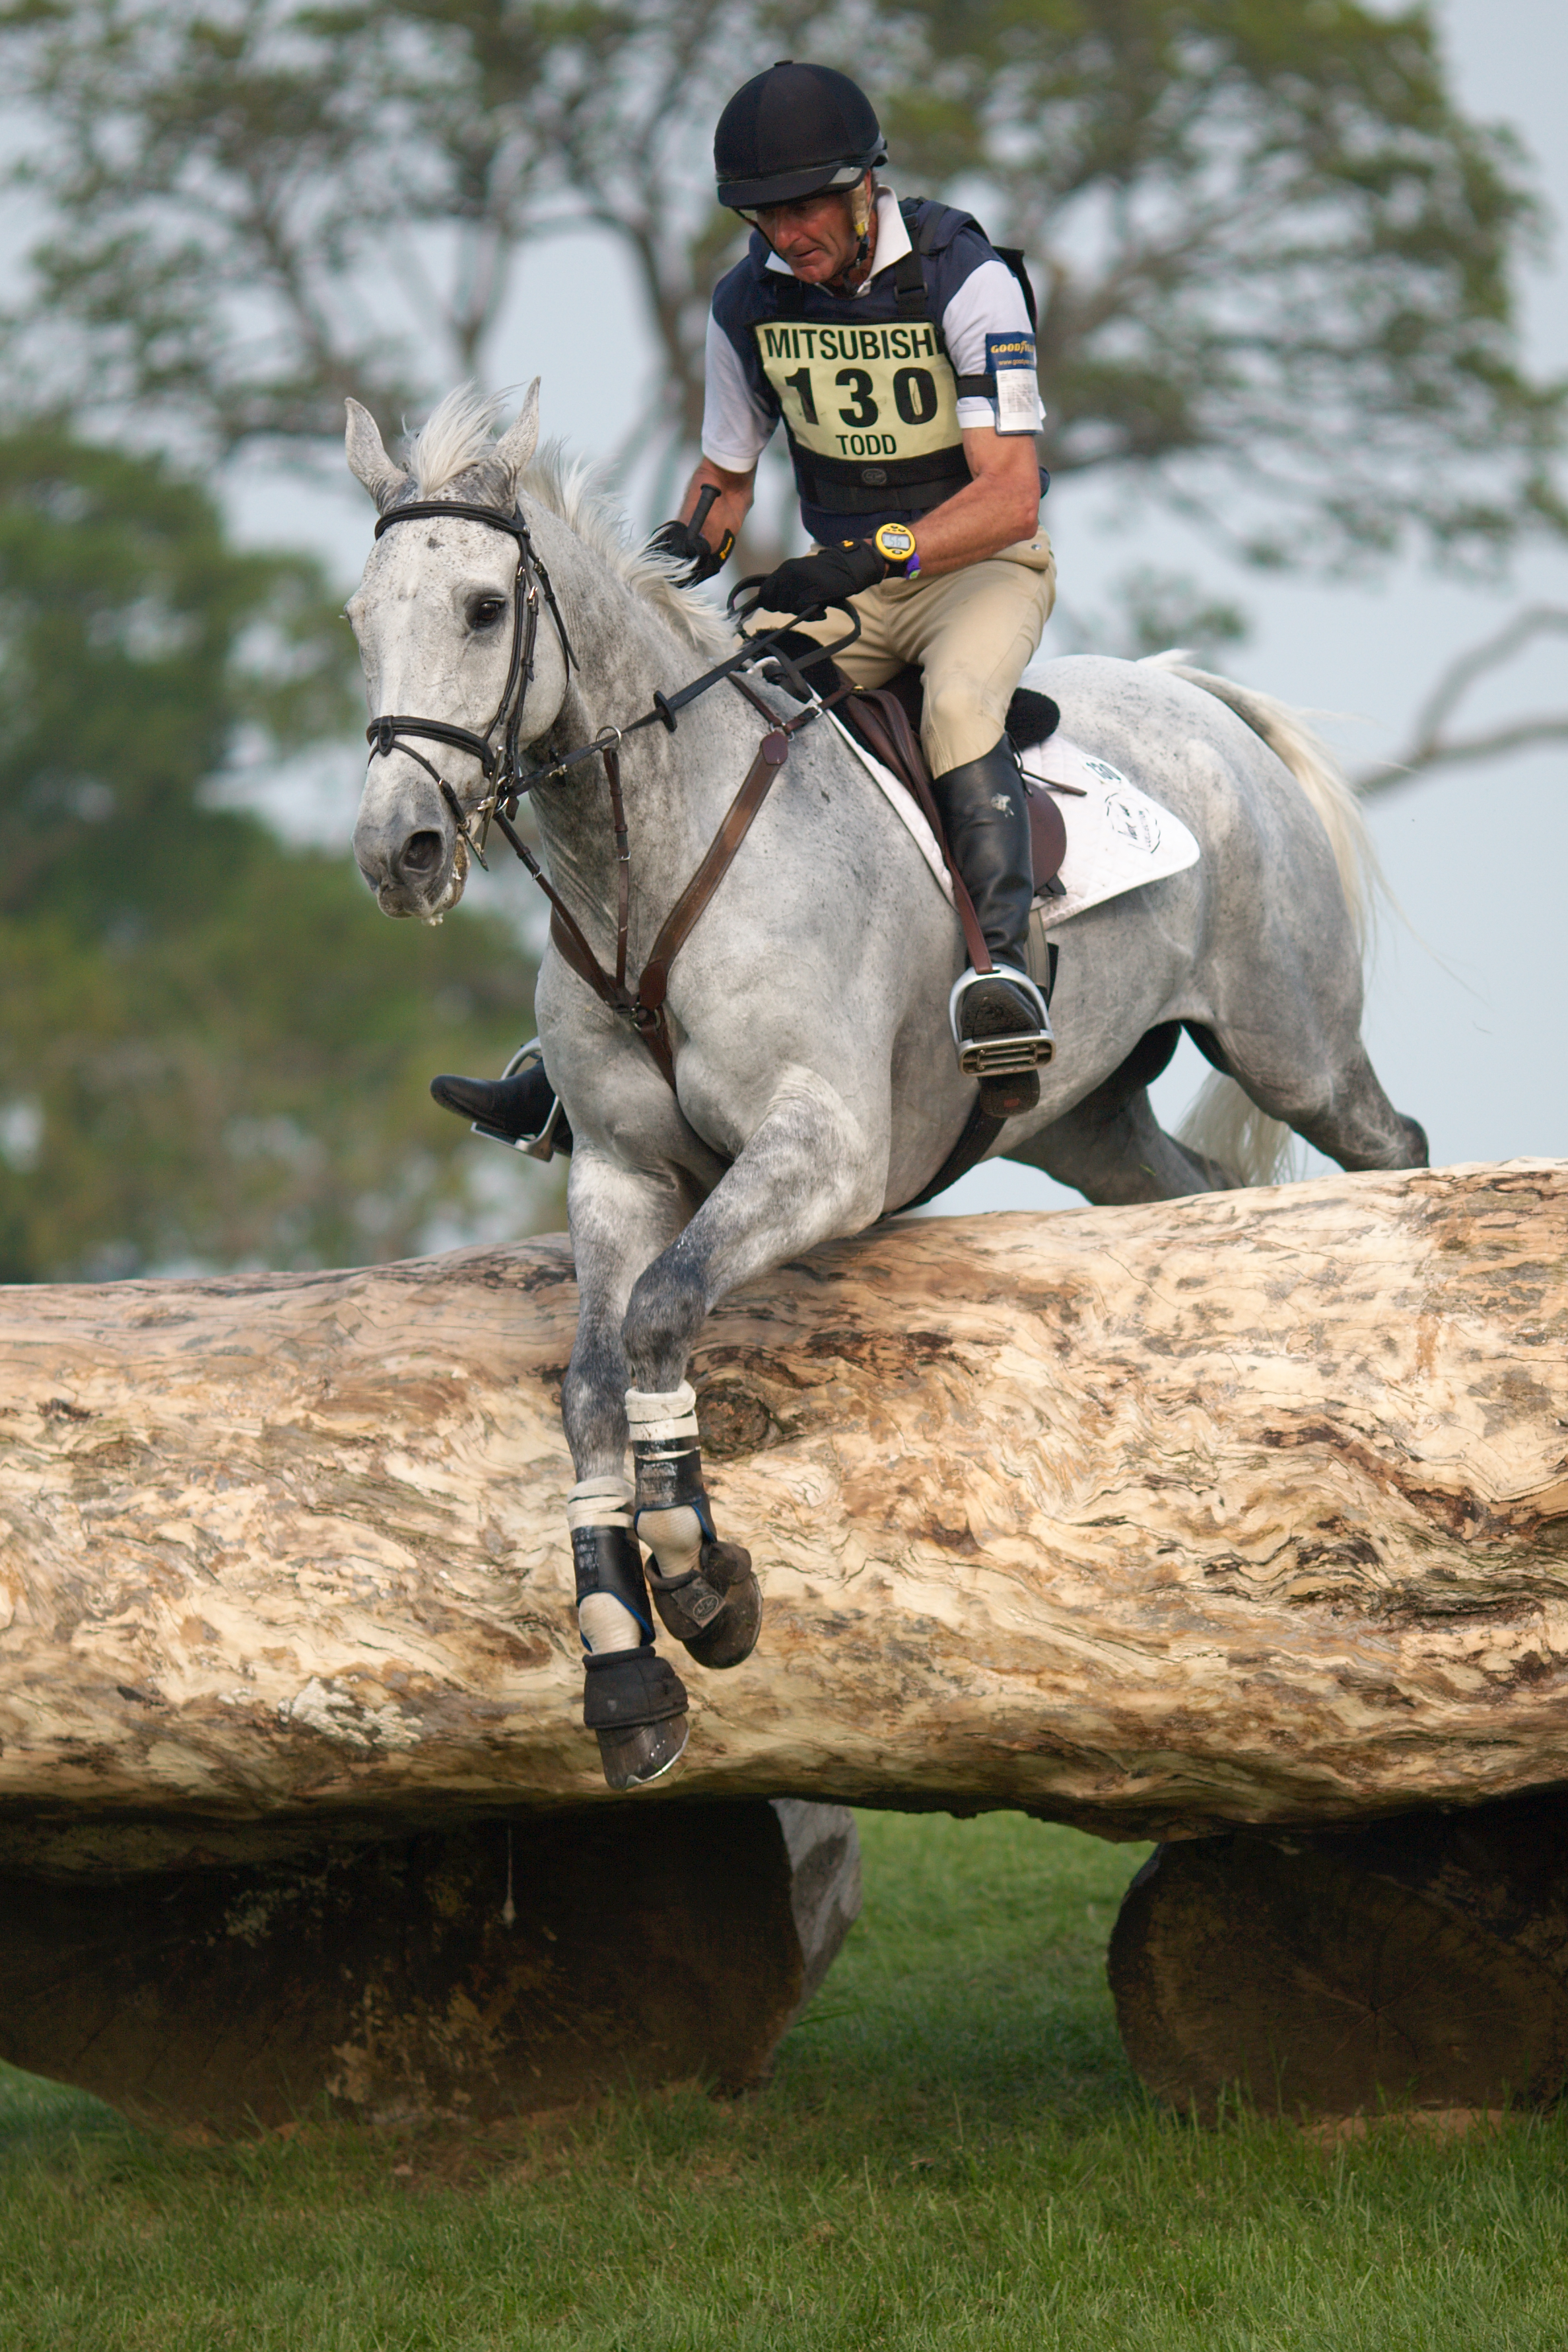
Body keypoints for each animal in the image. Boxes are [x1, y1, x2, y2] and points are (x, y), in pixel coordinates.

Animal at [350, 390, 1429, 1778]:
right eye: (362, 619)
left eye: (486, 607)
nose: (398, 849)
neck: (645, 859)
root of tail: (1194, 698)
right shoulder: (620, 1171)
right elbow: (595, 1378)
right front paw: (624, 1658)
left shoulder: (825, 1157)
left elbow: (662, 1309)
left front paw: (700, 1577)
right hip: (1091, 1126)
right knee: (1192, 1194)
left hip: (1292, 1044)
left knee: (1392, 1151)